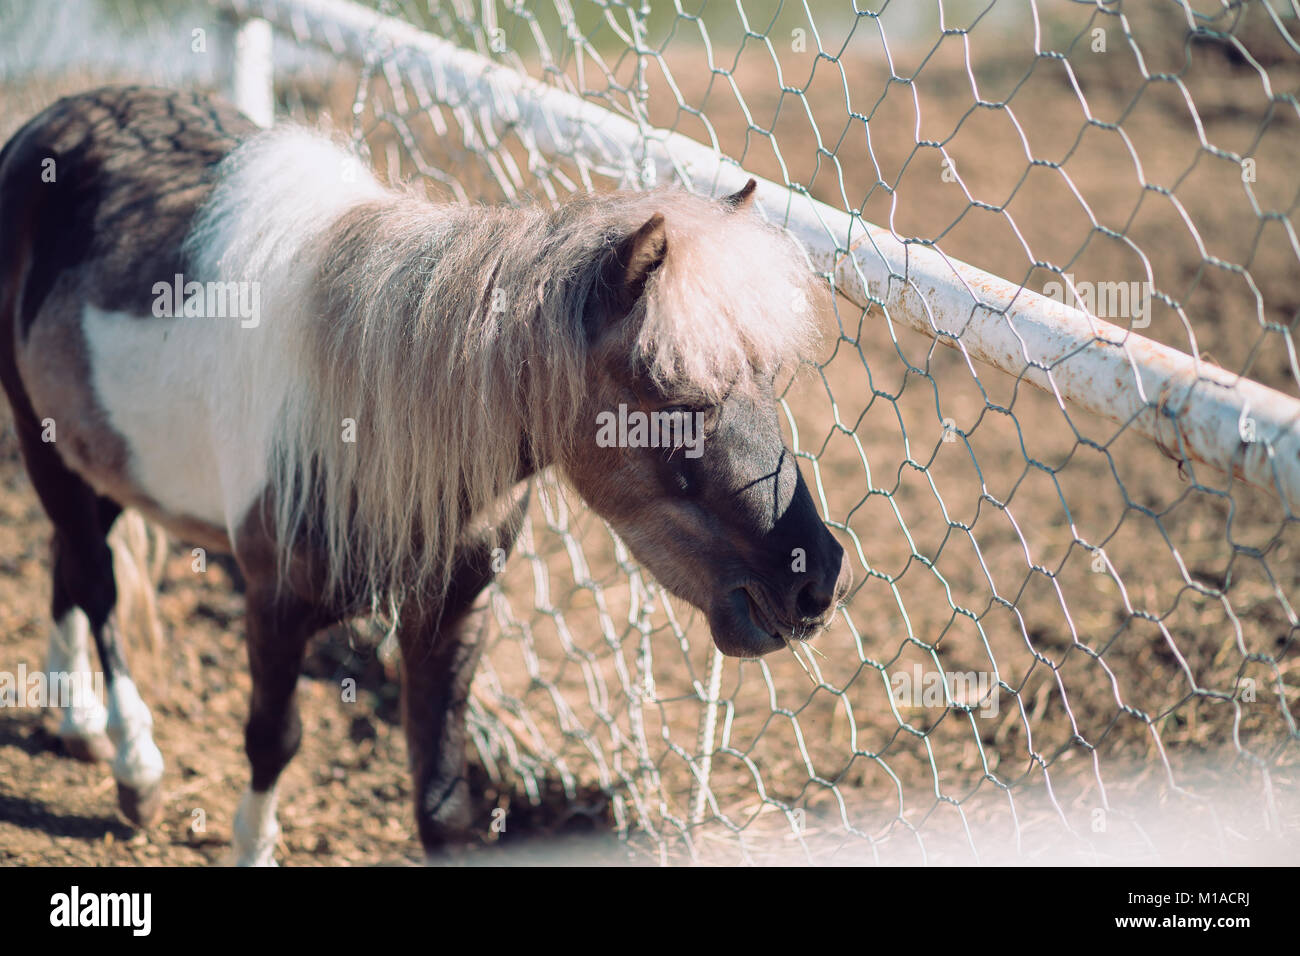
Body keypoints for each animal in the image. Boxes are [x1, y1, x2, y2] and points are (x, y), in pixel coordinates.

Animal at [2, 87, 852, 868]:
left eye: (767, 377)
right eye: (672, 399)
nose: (815, 580)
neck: (363, 406)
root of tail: (45, 124)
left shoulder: (455, 611)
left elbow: (442, 805)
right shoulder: (274, 601)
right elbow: (272, 739)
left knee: (69, 566)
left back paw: (77, 722)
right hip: (45, 448)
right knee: (96, 582)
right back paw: (133, 763)